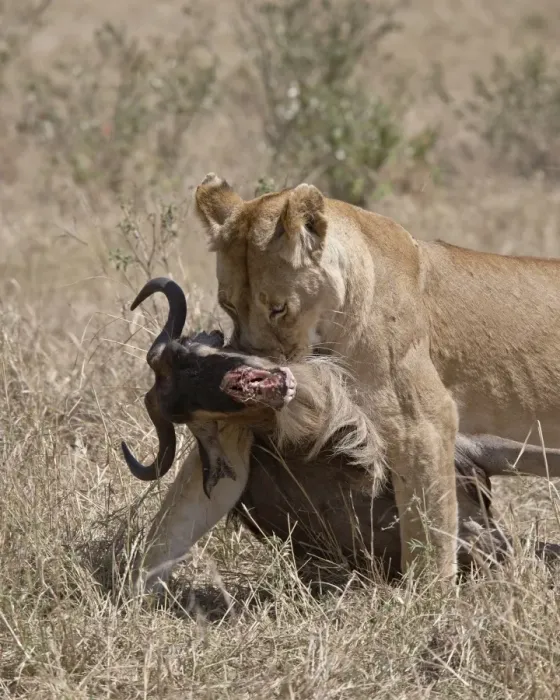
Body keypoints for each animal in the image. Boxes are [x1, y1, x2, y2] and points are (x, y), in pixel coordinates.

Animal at [194, 173, 560, 581]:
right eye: (227, 304)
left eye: (278, 308)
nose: (252, 367)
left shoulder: (423, 422)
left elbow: (429, 524)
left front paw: (429, 594)